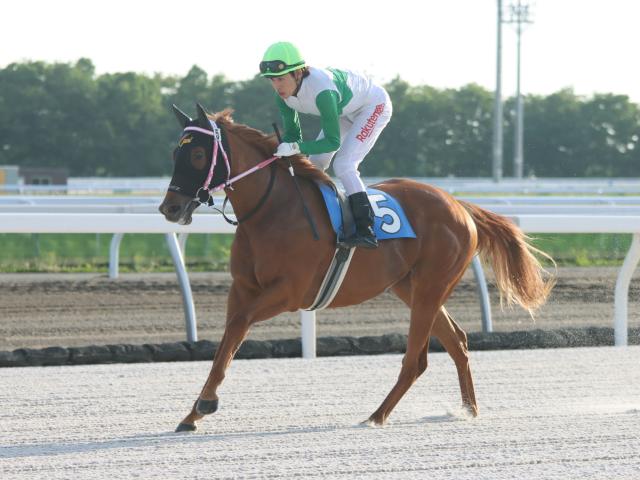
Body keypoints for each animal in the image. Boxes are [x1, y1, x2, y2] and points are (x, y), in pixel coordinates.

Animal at [158, 104, 552, 432]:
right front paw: (193, 413)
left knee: (416, 360)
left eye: (197, 153)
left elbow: (238, 327)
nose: (169, 208)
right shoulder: (242, 288)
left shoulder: (289, 293)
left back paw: (377, 416)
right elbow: (228, 340)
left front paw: (205, 404)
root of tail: (459, 205)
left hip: (431, 286)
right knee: (457, 341)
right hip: (410, 287)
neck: (272, 211)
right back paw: (469, 410)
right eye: (175, 152)